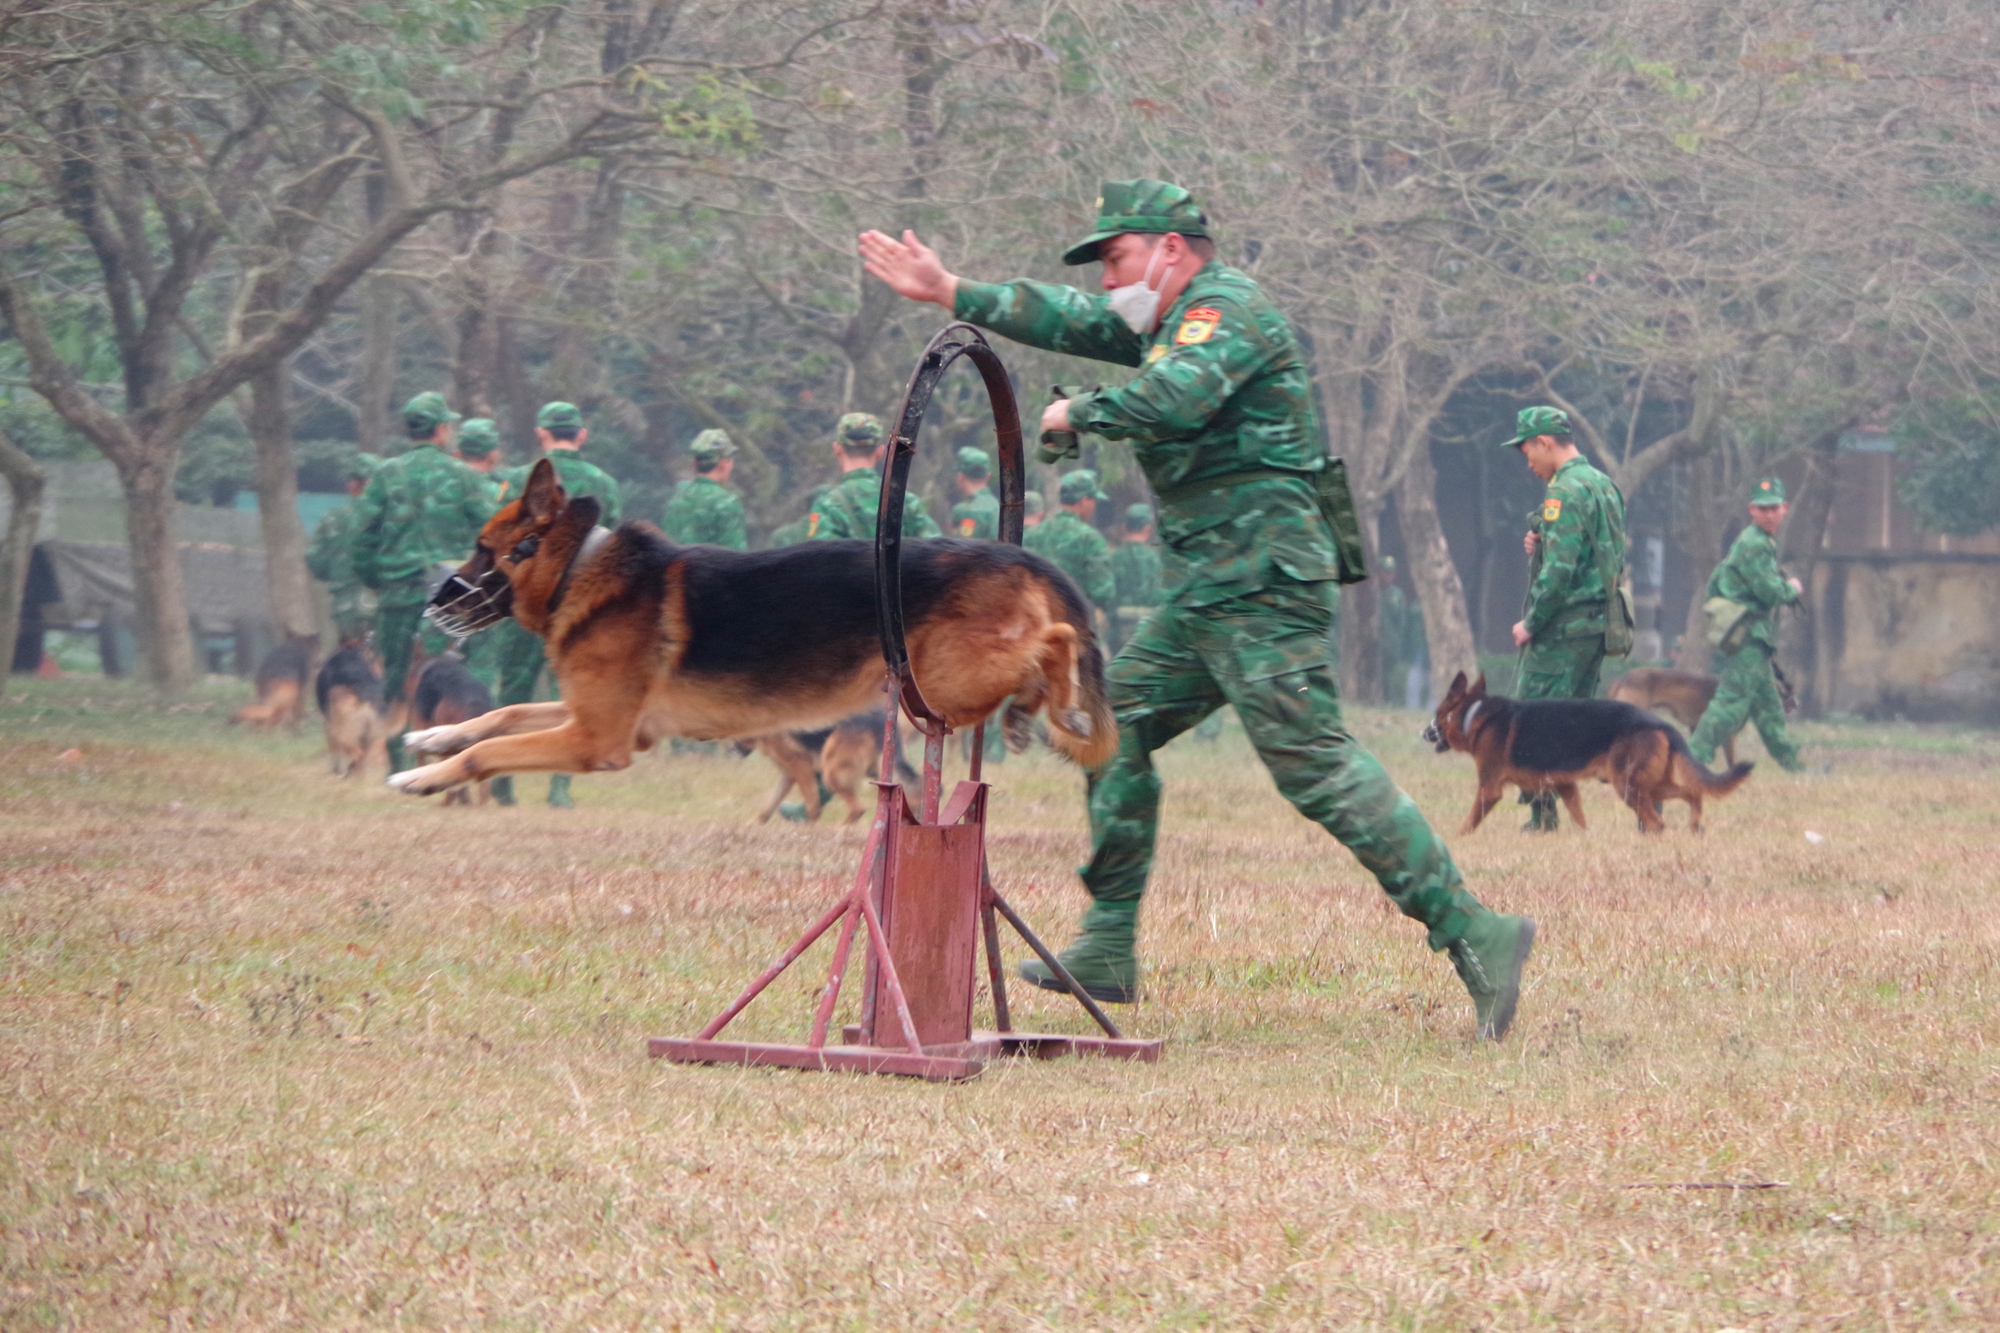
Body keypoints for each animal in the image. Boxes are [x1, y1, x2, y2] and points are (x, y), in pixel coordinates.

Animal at [390, 460, 1112, 788]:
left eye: (483, 550)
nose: (429, 602)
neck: (578, 568)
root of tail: (1017, 554)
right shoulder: (598, 719)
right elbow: (502, 715)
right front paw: (434, 738)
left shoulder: (596, 739)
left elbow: (490, 751)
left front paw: (421, 778)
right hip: (948, 685)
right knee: (1040, 657)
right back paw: (1027, 714)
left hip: (948, 677)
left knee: (1058, 640)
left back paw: (1064, 707)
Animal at [1424, 676, 1752, 832]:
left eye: (1438, 715)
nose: (1424, 733)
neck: (1473, 715)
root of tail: (1661, 724)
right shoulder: (1566, 786)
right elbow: (1579, 819)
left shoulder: (1489, 789)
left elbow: (1469, 823)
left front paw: (1456, 839)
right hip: (1648, 784)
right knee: (1693, 793)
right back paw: (1695, 826)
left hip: (1628, 785)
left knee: (1658, 821)